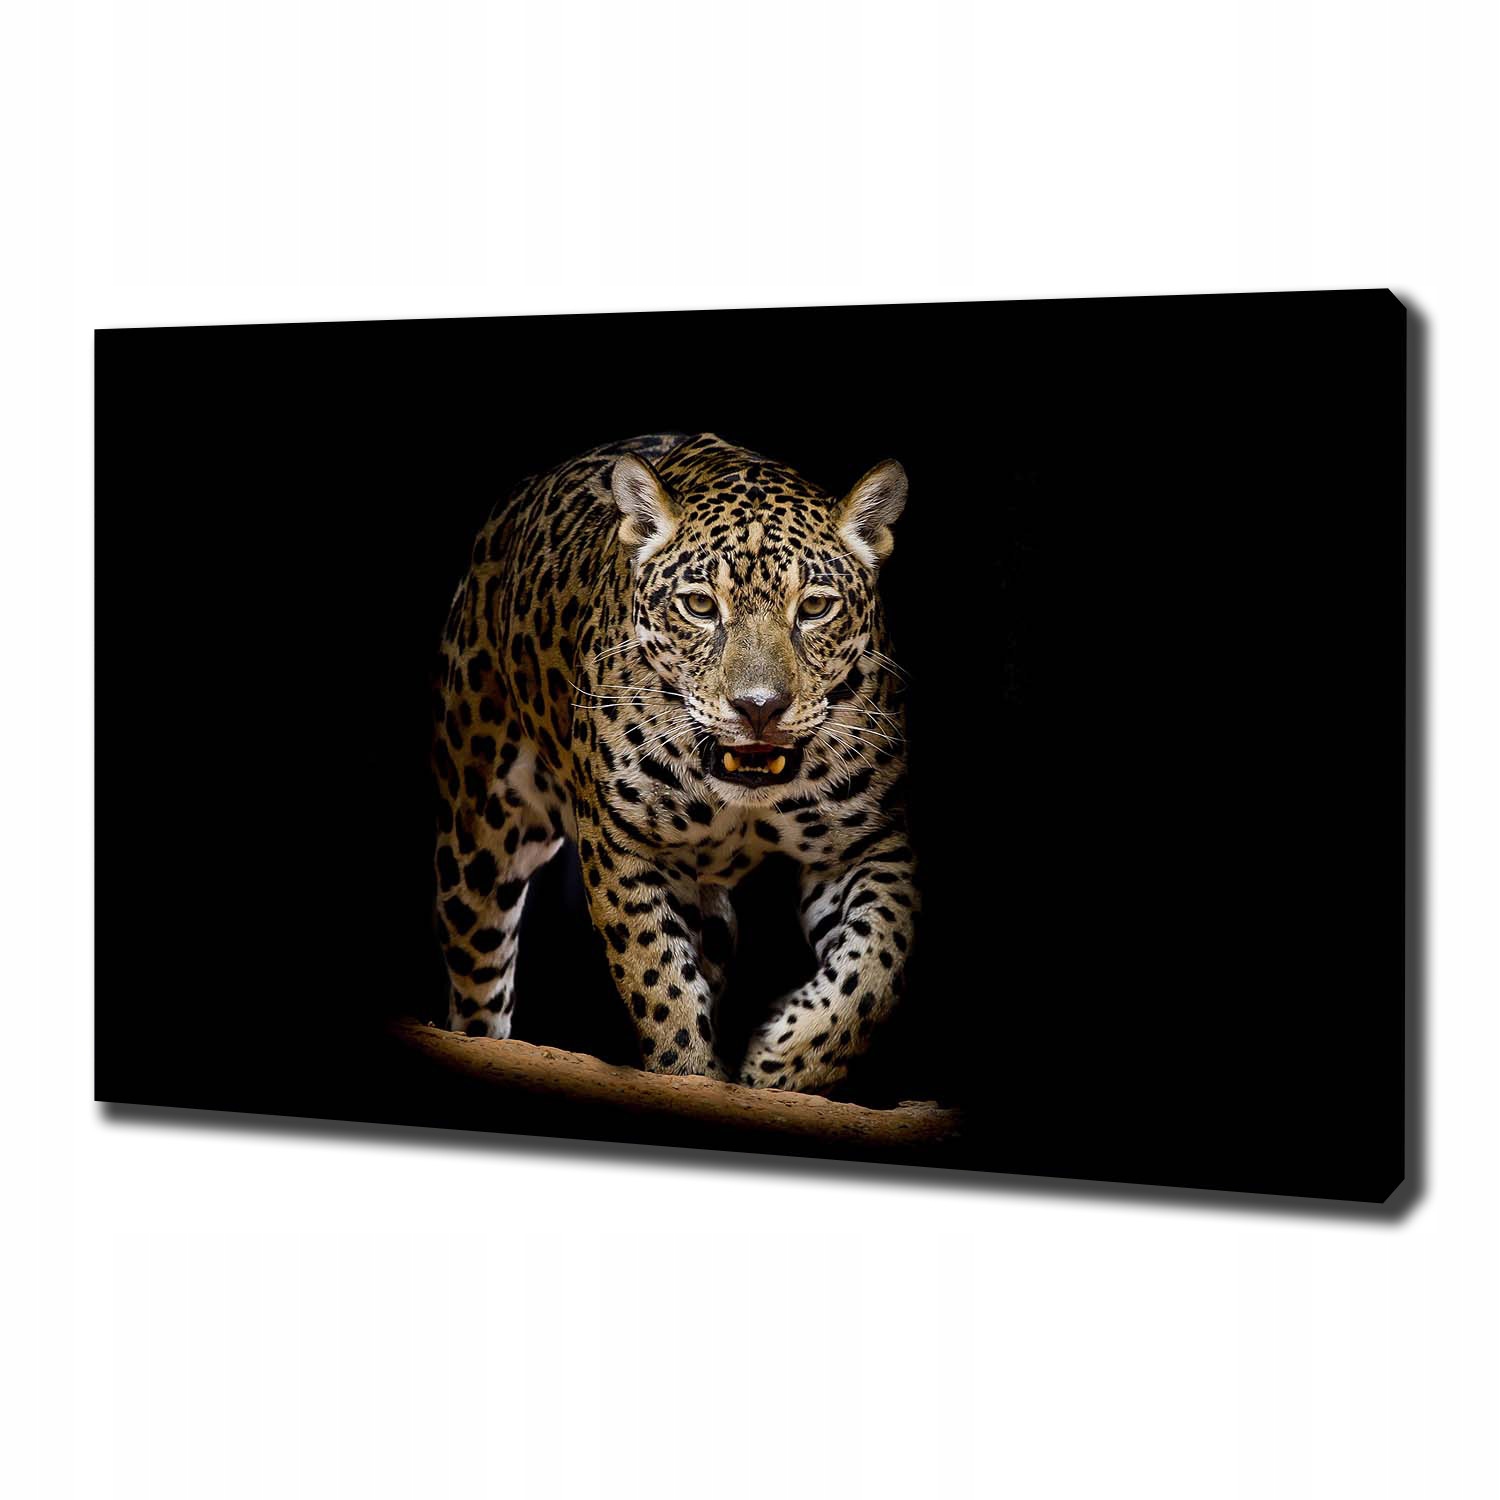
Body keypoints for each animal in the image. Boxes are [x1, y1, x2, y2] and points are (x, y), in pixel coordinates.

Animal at [432, 432, 917, 1093]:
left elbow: (875, 965)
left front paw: (781, 1062)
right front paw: (689, 1072)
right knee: (479, 980)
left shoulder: (867, 843)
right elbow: (657, 980)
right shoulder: (622, 846)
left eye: (816, 607)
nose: (759, 707)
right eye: (698, 606)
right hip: (480, 836)